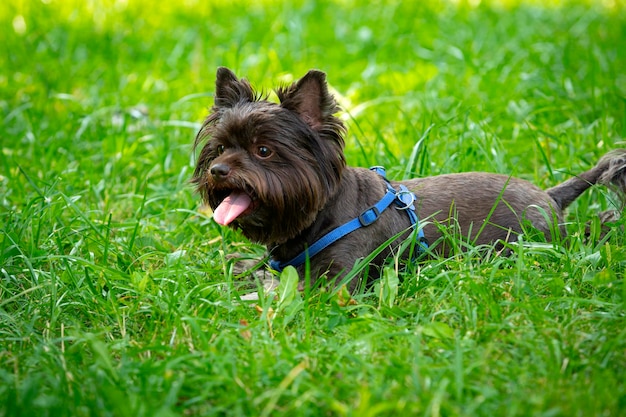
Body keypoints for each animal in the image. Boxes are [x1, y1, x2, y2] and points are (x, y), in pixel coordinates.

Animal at [190, 66, 624, 290]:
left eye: (264, 150)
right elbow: (252, 268)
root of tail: (549, 196)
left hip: (535, 245)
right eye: (220, 148)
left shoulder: (338, 281)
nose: (218, 170)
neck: (319, 216)